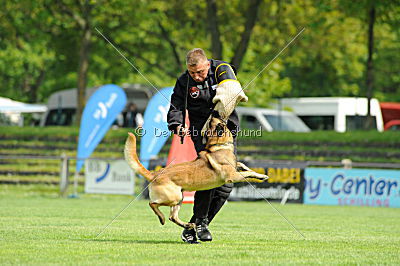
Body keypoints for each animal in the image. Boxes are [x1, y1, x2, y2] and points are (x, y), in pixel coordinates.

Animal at [125, 117, 268, 230]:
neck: (219, 145)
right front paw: (259, 176)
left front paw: (260, 175)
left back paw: (187, 225)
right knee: (153, 204)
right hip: (173, 197)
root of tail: (155, 174)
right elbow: (247, 173)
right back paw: (162, 218)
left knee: (173, 217)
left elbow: (244, 166)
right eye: (217, 122)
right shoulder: (232, 176)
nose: (214, 114)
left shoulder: (235, 166)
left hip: (179, 197)